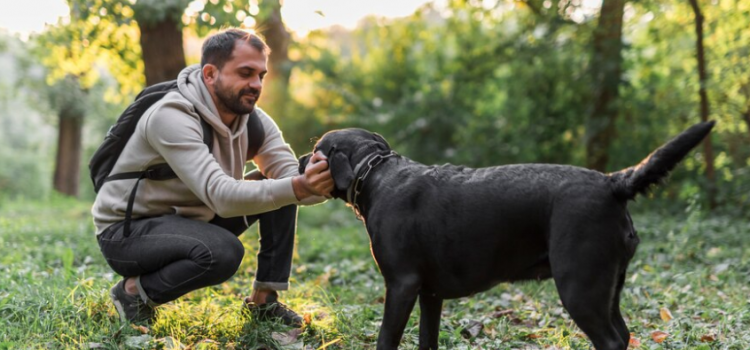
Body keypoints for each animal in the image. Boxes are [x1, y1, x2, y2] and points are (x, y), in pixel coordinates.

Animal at [300, 121, 716, 350]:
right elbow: (427, 340)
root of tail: (612, 182)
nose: (301, 161)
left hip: (579, 286)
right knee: (624, 334)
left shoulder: (401, 284)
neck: (375, 173)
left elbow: (387, 338)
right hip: (609, 286)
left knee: (611, 340)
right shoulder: (430, 293)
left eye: (316, 148)